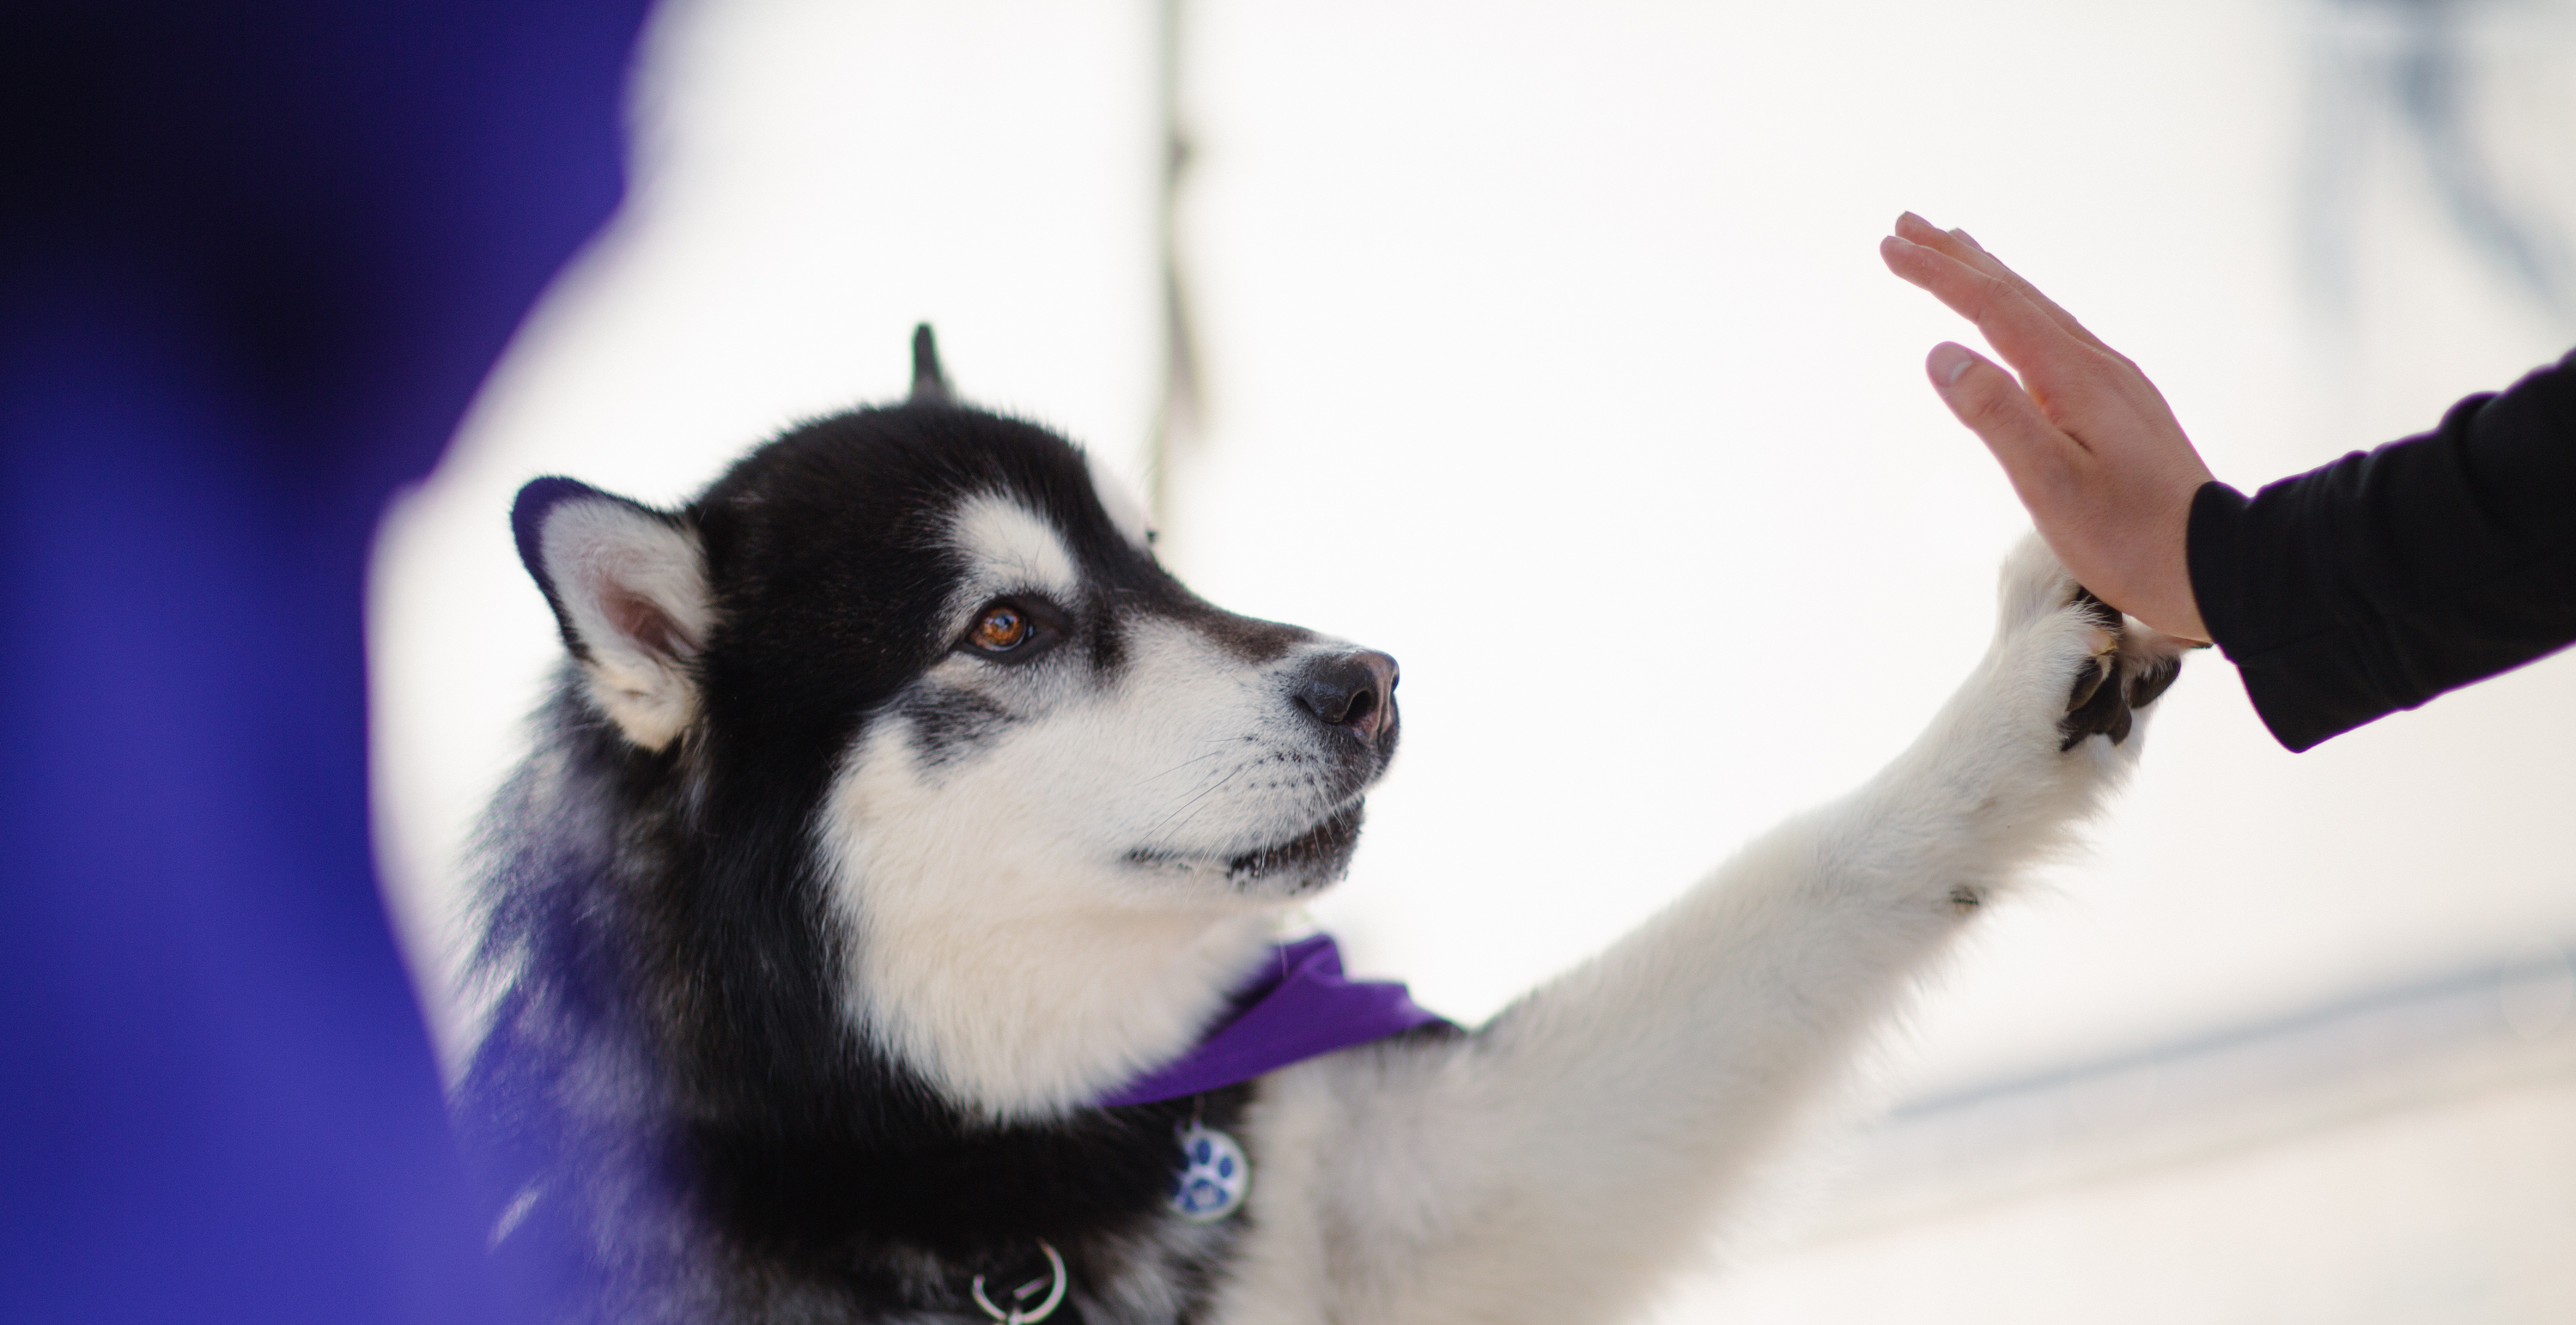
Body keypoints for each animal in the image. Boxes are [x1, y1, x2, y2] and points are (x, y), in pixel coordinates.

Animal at [459, 325, 2174, 1314]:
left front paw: (2027, 687)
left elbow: (1826, 864)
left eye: (1151, 550)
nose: (1370, 684)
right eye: (1006, 625)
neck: (975, 1169)